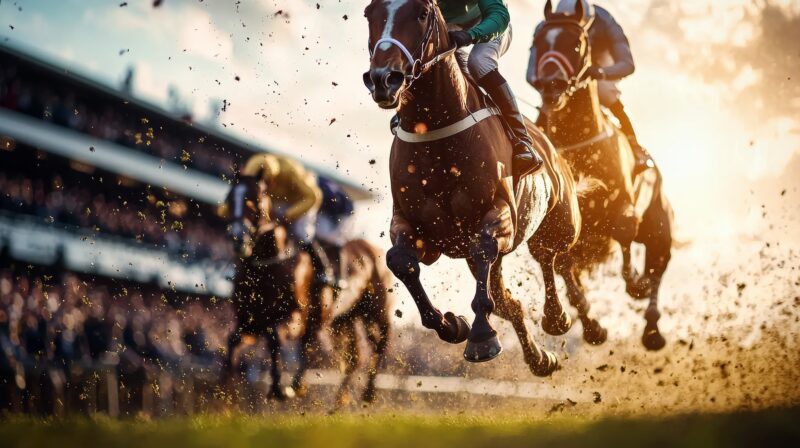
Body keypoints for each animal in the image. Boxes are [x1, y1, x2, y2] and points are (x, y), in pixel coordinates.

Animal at [360, 0, 604, 376]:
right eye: (369, 13)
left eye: (421, 13)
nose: (384, 79)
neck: (436, 134)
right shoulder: (412, 226)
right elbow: (400, 261)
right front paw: (452, 324)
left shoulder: (498, 215)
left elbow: (484, 249)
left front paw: (480, 336)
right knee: (509, 301)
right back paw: (540, 358)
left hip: (563, 223)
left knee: (551, 256)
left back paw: (559, 318)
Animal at [532, 0, 676, 350]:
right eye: (539, 43)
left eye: (576, 44)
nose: (551, 85)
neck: (578, 141)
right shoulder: (566, 229)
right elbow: (561, 265)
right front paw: (574, 321)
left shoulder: (624, 209)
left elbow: (624, 232)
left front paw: (634, 282)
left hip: (659, 227)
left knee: (658, 267)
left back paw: (652, 329)